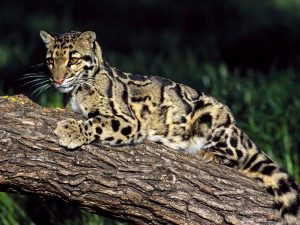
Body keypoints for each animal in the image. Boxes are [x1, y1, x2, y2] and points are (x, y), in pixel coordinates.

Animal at [40, 30, 300, 225]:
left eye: (73, 59)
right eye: (51, 60)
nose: (57, 80)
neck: (77, 91)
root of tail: (237, 128)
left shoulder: (128, 120)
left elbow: (97, 123)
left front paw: (71, 131)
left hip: (213, 116)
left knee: (239, 153)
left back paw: (210, 154)